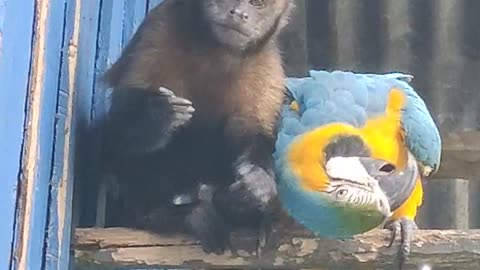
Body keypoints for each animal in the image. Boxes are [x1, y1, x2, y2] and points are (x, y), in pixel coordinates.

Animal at [101, 0, 294, 253]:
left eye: (258, 4)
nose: (239, 14)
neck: (216, 51)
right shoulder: (158, 28)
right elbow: (116, 130)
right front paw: (160, 114)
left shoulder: (266, 62)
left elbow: (252, 132)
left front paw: (257, 184)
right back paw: (165, 215)